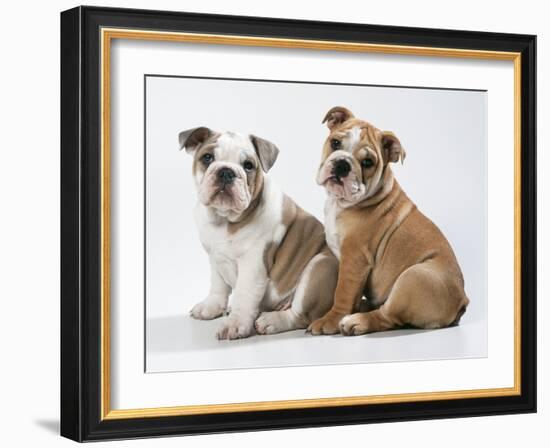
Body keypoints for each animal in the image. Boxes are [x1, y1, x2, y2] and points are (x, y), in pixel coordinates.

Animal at [179, 126, 338, 340]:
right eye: (207, 157)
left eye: (248, 165)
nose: (226, 172)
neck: (224, 219)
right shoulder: (214, 257)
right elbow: (218, 285)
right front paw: (211, 307)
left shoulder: (252, 264)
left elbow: (244, 294)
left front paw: (235, 323)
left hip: (320, 266)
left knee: (300, 315)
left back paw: (272, 321)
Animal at [308, 106, 472, 336]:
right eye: (335, 143)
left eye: (368, 163)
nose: (342, 164)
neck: (341, 203)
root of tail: (462, 300)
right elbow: (351, 293)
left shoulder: (354, 258)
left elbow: (342, 292)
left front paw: (330, 320)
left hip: (412, 278)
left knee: (387, 316)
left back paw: (356, 321)